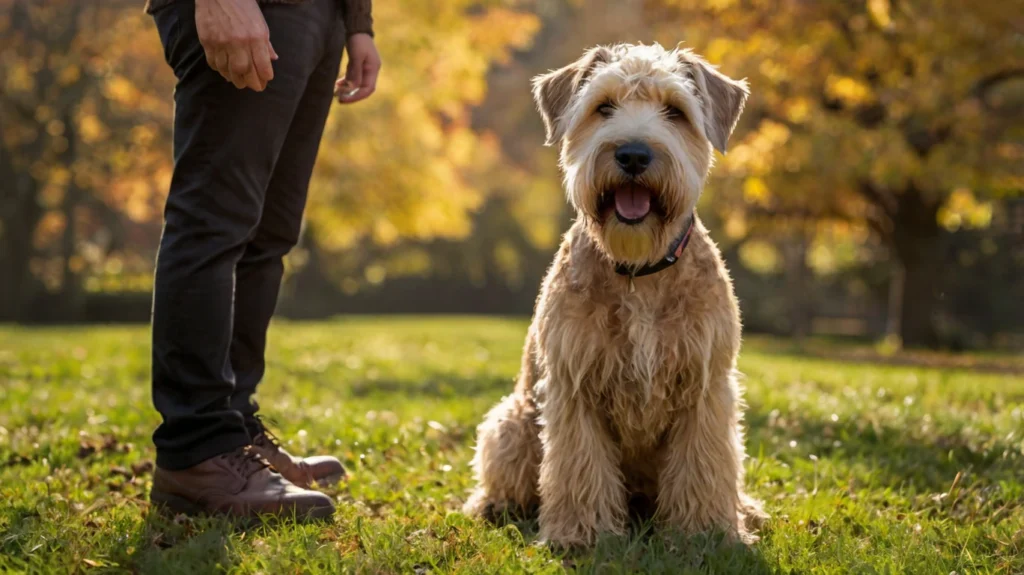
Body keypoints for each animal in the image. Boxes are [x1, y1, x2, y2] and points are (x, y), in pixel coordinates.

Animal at [464, 42, 770, 544]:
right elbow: (579, 467)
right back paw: (493, 504)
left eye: (675, 111)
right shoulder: (574, 384)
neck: (638, 271)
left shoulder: (706, 385)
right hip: (512, 421)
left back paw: (746, 509)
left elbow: (705, 464)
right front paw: (581, 534)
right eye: (603, 107)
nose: (633, 154)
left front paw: (706, 531)